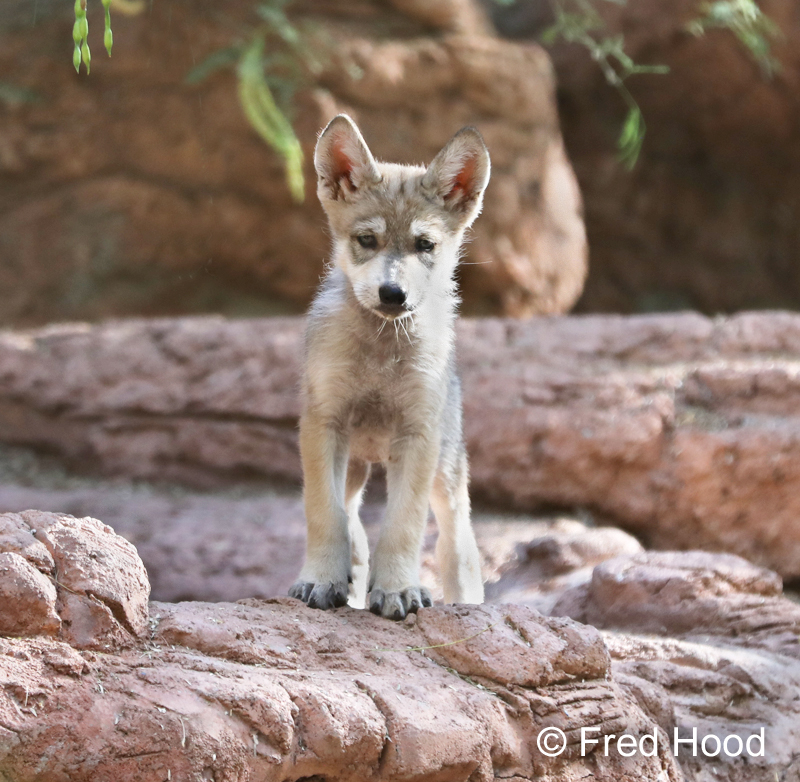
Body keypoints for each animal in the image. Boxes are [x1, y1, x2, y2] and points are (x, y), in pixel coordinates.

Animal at [288, 114, 490, 620]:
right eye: (367, 240)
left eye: (425, 245)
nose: (393, 294)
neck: (380, 356)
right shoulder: (323, 425)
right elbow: (324, 517)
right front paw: (320, 579)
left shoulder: (417, 435)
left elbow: (403, 525)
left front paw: (398, 588)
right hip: (353, 467)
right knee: (353, 527)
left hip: (446, 473)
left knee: (458, 550)